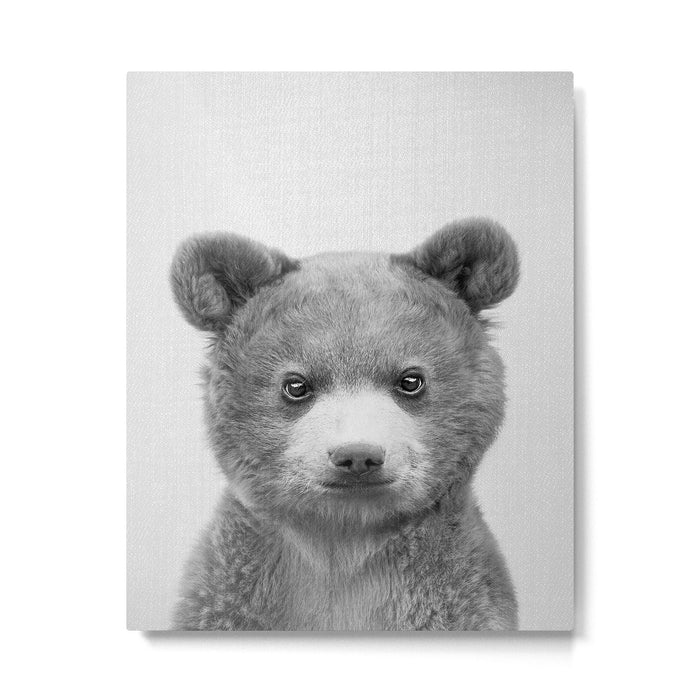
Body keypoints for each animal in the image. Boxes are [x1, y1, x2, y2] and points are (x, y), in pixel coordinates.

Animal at [169, 217, 520, 631]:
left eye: (411, 380)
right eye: (296, 385)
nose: (358, 455)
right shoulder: (233, 592)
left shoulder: (455, 595)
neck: (344, 542)